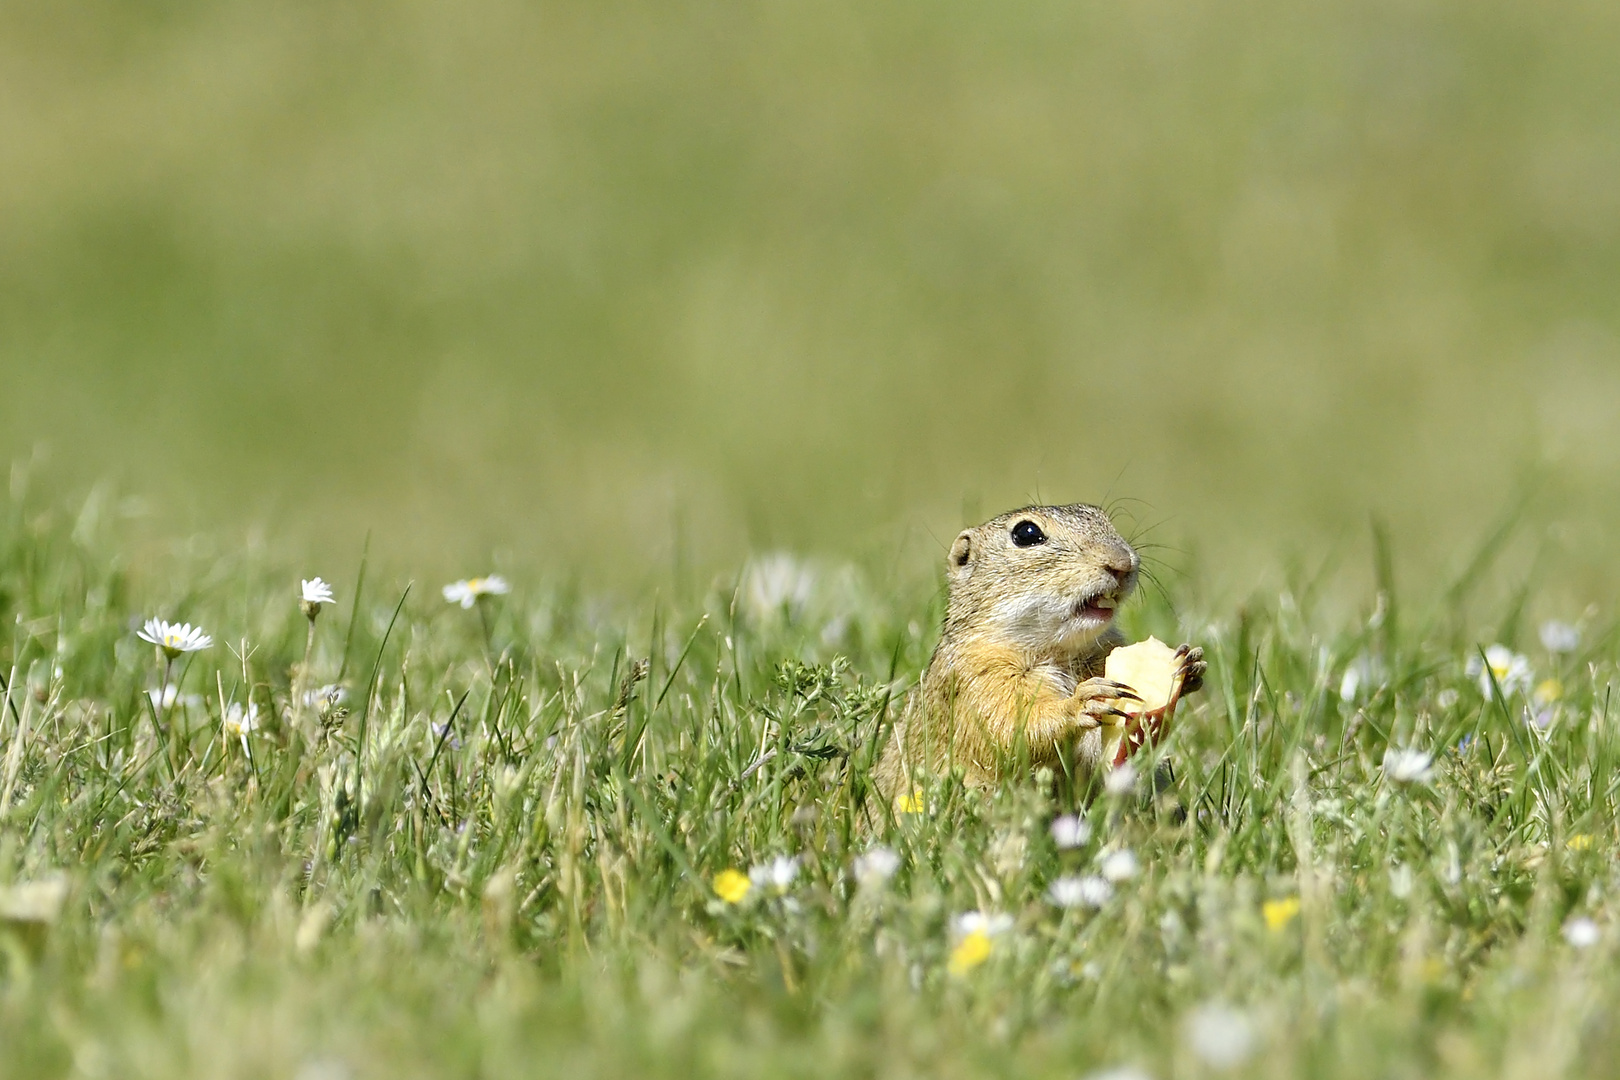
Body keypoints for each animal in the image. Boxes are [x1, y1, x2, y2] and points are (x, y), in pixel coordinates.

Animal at [874, 508, 1205, 809]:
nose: (1122, 562)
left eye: (1102, 517)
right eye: (1026, 533)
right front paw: (1083, 702)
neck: (1060, 651)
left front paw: (1190, 665)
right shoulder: (977, 680)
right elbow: (1013, 728)